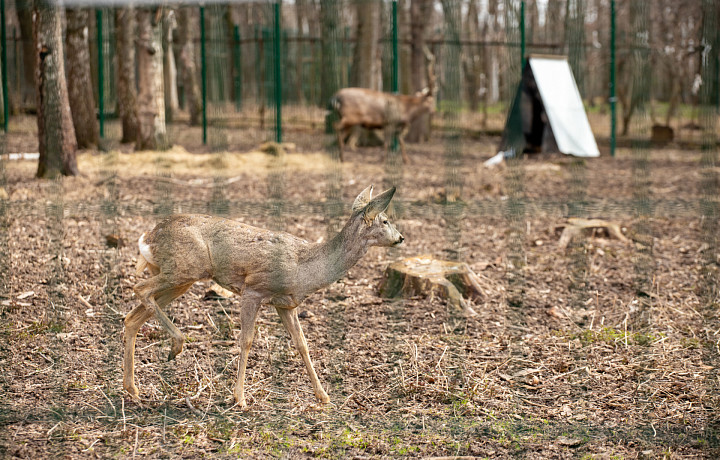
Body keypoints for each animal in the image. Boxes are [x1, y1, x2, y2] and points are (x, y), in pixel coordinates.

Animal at [124, 185, 404, 408]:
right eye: (385, 221)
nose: (401, 238)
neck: (305, 270)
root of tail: (147, 236)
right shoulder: (253, 290)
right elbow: (247, 340)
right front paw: (240, 398)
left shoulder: (287, 304)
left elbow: (302, 344)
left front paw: (323, 396)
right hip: (185, 268)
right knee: (140, 289)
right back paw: (175, 346)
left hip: (181, 278)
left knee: (133, 316)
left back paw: (133, 390)